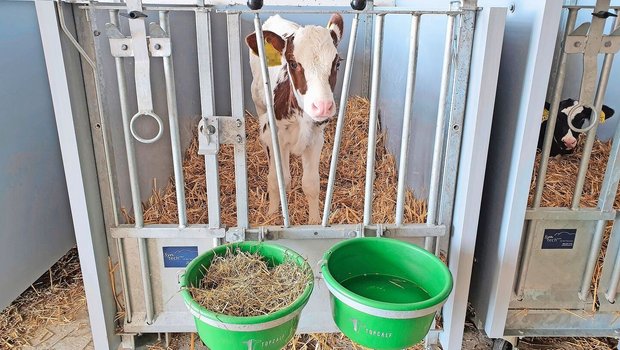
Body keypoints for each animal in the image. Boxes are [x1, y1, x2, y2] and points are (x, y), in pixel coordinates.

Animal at [246, 13, 344, 224]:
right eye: (292, 63)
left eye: (337, 63)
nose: (323, 106)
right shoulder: (273, 135)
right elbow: (275, 179)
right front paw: (272, 216)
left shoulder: (316, 140)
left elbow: (311, 184)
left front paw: (314, 221)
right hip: (257, 100)